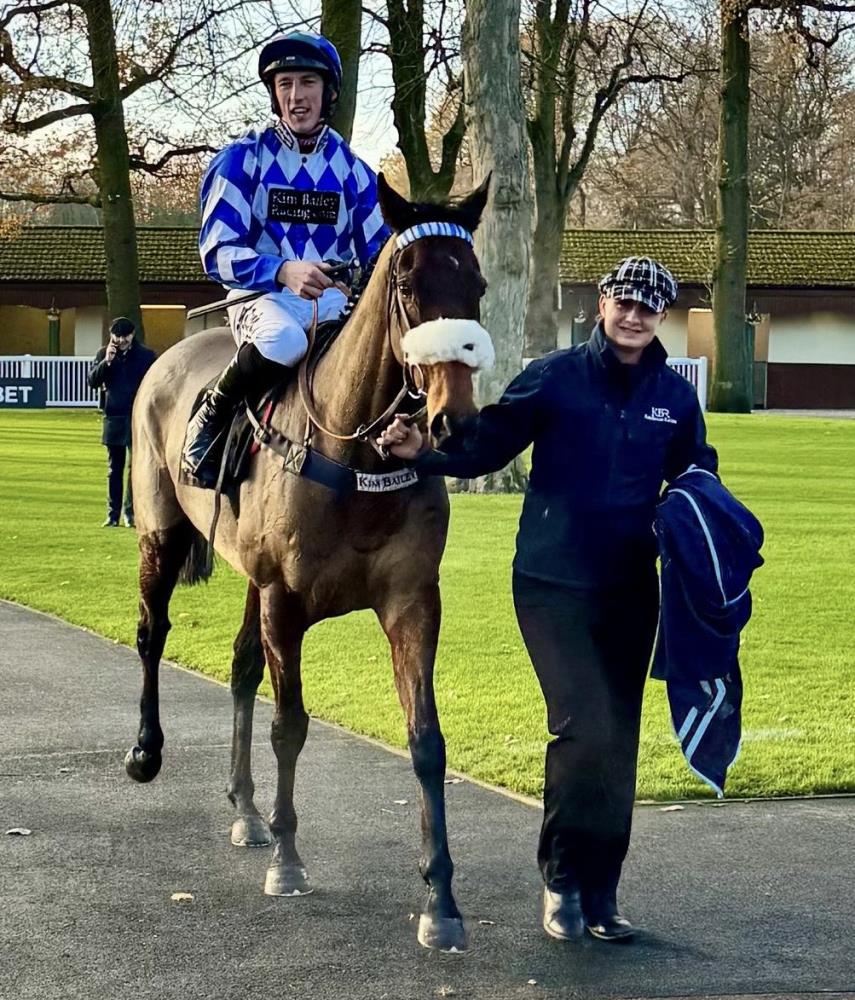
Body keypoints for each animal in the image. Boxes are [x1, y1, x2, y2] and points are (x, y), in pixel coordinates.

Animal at [124, 175, 493, 953]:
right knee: (150, 633)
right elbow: (288, 726)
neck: (354, 458)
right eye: (408, 283)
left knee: (238, 666)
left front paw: (440, 900)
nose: (454, 420)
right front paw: (290, 861)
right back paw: (146, 752)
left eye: (475, 284)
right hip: (161, 534)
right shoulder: (283, 601)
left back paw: (245, 811)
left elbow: (426, 741)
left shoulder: (412, 601)